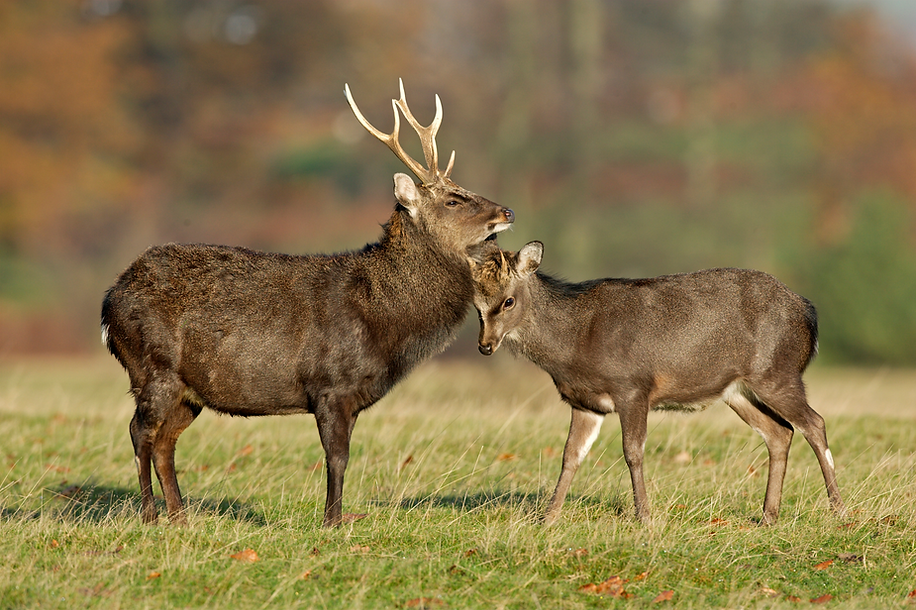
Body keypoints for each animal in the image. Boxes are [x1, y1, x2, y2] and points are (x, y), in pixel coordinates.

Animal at [101, 80, 514, 528]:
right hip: (153, 366)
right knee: (140, 432)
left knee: (165, 442)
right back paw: (150, 515)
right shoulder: (330, 384)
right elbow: (337, 458)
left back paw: (180, 517)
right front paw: (332, 521)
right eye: (453, 200)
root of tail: (110, 302)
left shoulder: (351, 397)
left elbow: (343, 456)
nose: (507, 211)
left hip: (187, 390)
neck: (382, 316)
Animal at [468, 240, 845, 526]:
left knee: (814, 423)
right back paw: (768, 516)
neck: (575, 343)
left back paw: (838, 511)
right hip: (738, 391)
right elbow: (570, 456)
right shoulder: (584, 403)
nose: (484, 346)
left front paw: (645, 517)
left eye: (508, 301)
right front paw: (548, 519)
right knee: (780, 432)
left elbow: (633, 452)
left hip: (777, 372)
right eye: (476, 305)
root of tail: (809, 314)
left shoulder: (633, 386)